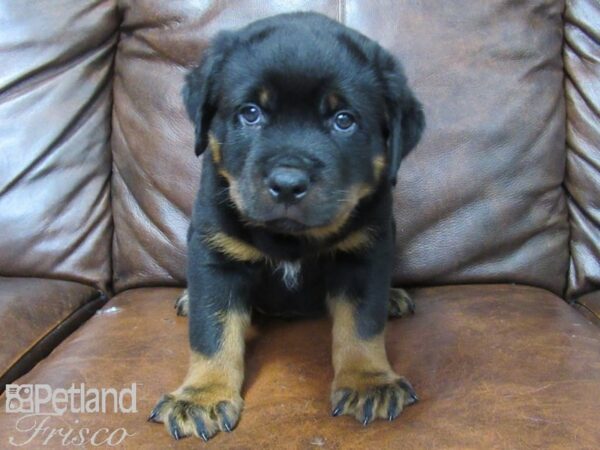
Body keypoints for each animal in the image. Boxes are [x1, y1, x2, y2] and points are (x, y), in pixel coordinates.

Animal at [148, 11, 424, 442]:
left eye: (344, 120)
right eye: (250, 113)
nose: (288, 183)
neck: (291, 239)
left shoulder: (366, 253)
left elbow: (362, 326)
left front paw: (368, 381)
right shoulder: (215, 254)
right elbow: (211, 333)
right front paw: (202, 395)